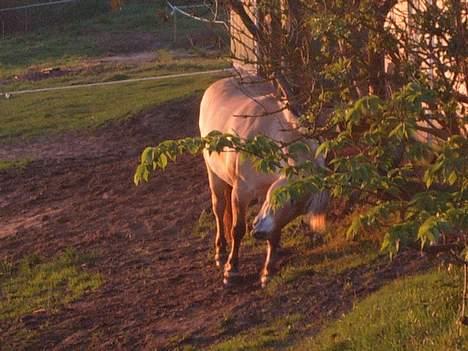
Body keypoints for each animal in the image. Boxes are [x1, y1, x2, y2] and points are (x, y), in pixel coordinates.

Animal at [199, 76, 328, 286]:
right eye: (291, 198)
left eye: (300, 209)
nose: (259, 233)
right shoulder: (241, 193)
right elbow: (238, 229)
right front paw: (231, 270)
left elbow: (275, 233)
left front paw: (268, 271)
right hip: (214, 175)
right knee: (219, 209)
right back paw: (220, 251)